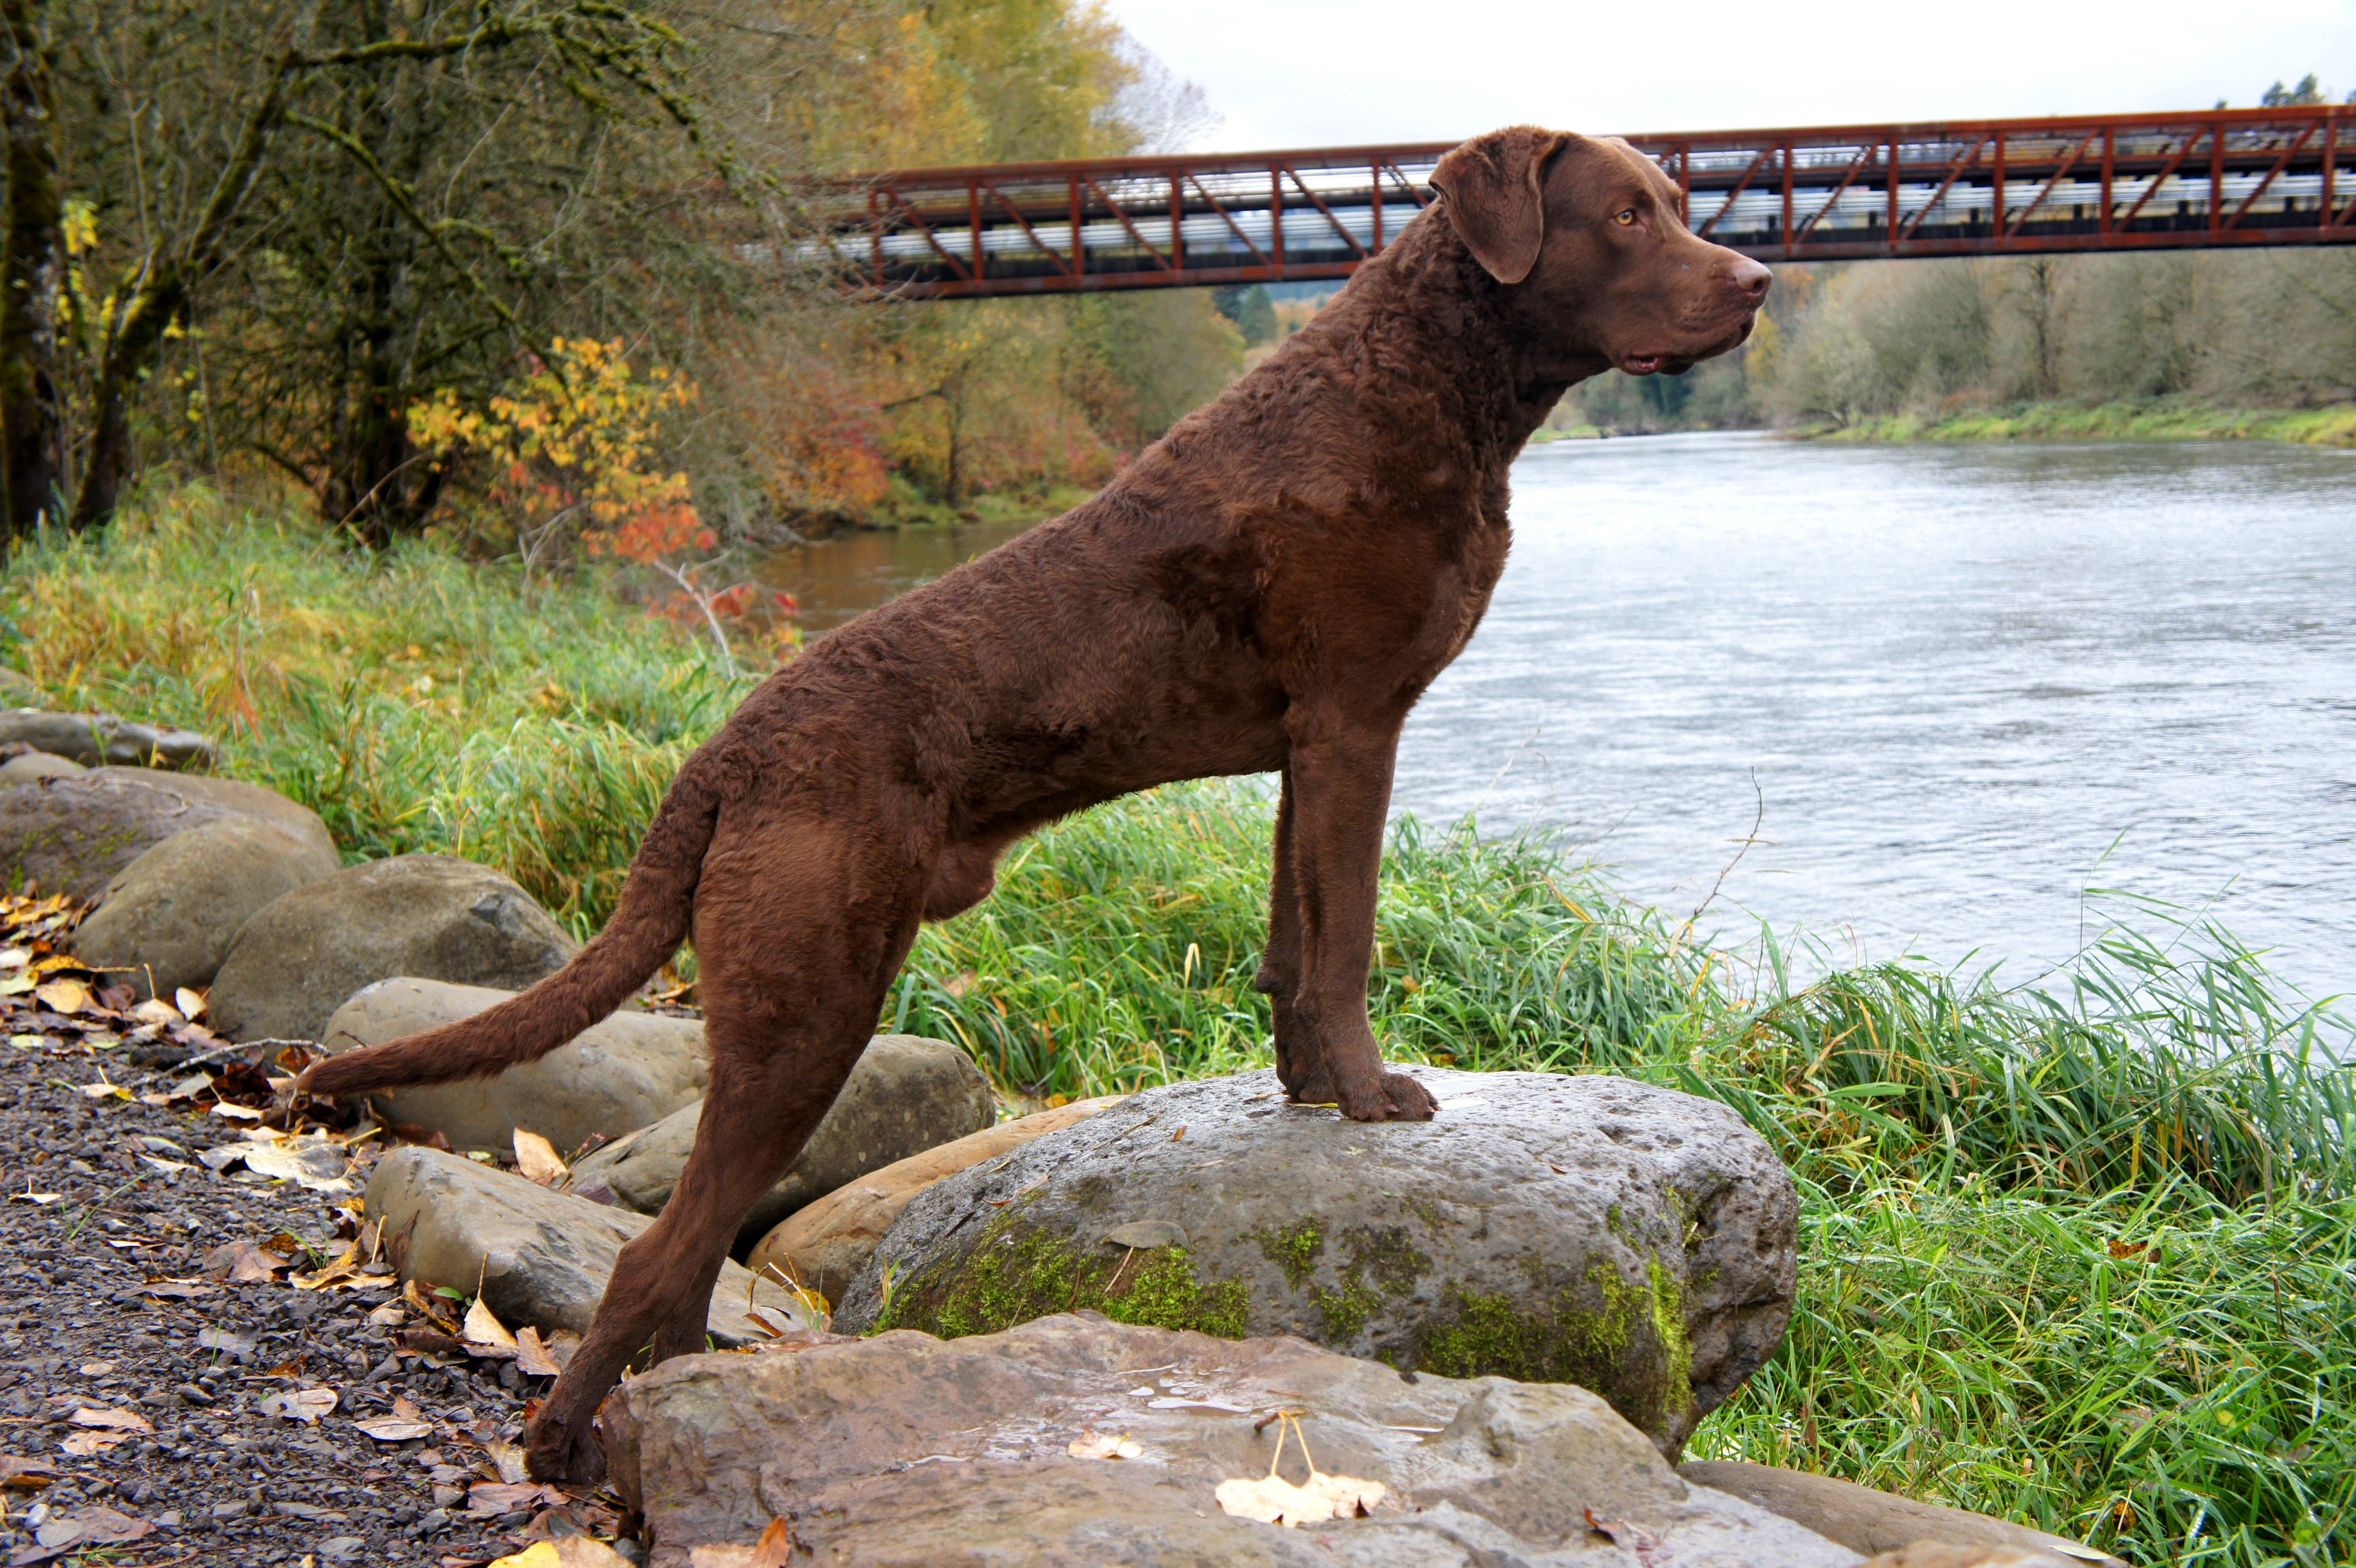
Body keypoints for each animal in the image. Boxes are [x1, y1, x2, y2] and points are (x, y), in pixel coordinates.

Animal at [304, 125, 1772, 1478]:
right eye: (1628, 214)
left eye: (1681, 201)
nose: (1759, 279)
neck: (1422, 383)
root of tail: (724, 754)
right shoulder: (1357, 721)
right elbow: (1348, 936)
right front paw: (1370, 1096)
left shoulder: (1306, 747)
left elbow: (1293, 945)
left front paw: (1310, 1088)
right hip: (807, 1006)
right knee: (654, 1252)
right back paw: (566, 1450)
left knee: (695, 1248)